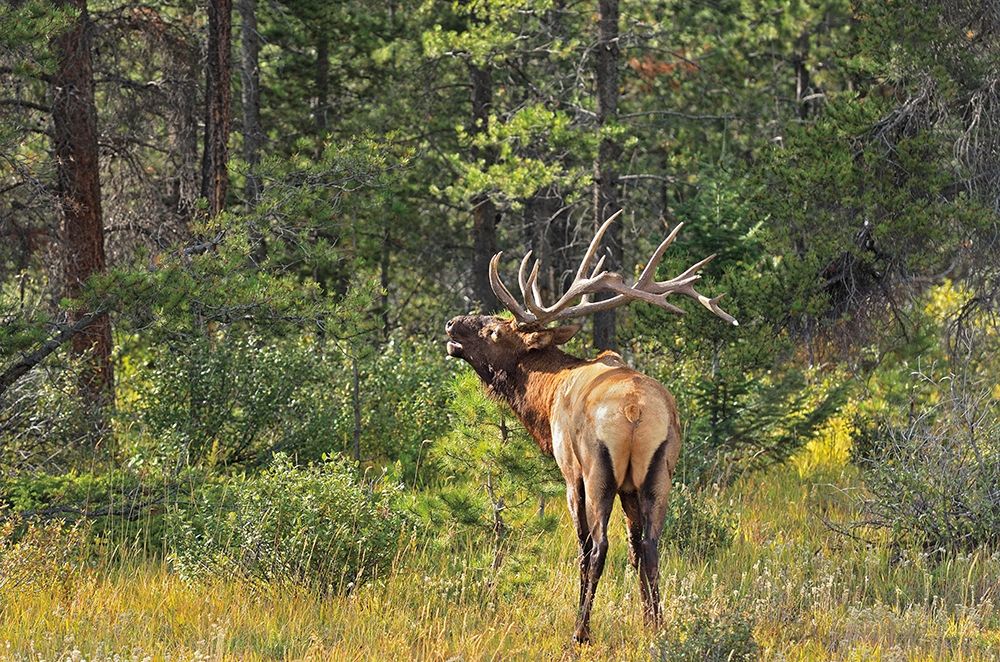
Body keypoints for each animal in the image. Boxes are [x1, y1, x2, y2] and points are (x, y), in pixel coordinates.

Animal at [444, 211, 736, 644]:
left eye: (494, 330)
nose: (451, 325)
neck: (545, 401)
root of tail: (634, 409)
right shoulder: (632, 486)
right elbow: (636, 549)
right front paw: (648, 619)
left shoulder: (570, 474)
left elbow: (582, 547)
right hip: (658, 472)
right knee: (649, 545)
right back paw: (657, 626)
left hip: (599, 471)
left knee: (598, 547)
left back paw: (580, 630)